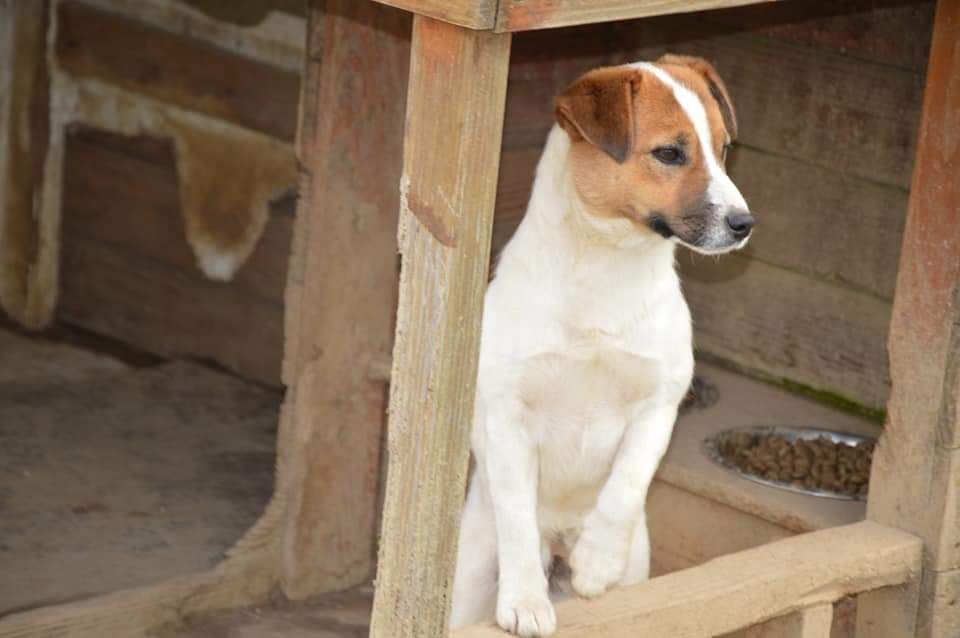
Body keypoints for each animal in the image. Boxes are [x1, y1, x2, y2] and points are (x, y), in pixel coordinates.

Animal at [452, 56, 756, 638]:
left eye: (723, 147)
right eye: (670, 153)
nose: (744, 224)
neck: (605, 268)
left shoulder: (659, 404)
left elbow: (625, 487)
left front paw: (595, 561)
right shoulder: (507, 415)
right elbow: (518, 519)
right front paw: (524, 600)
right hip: (467, 578)